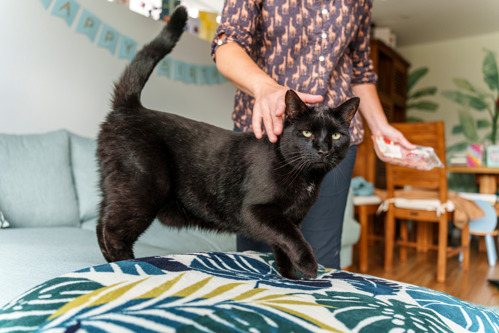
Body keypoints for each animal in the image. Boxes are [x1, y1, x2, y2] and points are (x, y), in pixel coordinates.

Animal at [95, 6, 360, 278]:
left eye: (336, 135)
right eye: (307, 133)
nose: (323, 149)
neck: (306, 179)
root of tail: (130, 107)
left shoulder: (291, 218)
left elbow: (283, 247)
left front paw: (289, 277)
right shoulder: (257, 212)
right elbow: (292, 237)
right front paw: (308, 265)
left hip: (118, 189)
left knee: (102, 224)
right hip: (143, 187)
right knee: (112, 232)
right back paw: (125, 265)